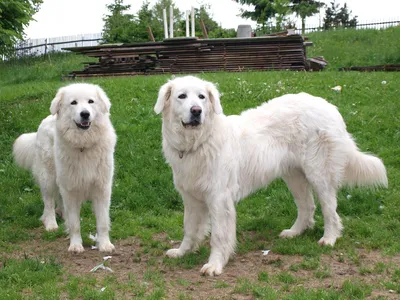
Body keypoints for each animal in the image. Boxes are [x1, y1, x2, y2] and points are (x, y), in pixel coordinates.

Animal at [13, 84, 116, 253]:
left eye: (91, 101)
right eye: (73, 102)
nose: (85, 114)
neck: (83, 145)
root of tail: (46, 119)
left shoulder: (102, 189)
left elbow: (102, 222)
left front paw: (105, 244)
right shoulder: (71, 189)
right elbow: (75, 224)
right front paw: (75, 245)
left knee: (59, 200)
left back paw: (61, 214)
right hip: (48, 177)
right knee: (48, 202)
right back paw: (51, 224)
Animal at [155, 75, 390, 276]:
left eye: (202, 97)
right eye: (182, 96)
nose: (196, 111)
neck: (198, 142)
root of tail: (329, 106)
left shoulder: (219, 199)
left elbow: (219, 236)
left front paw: (215, 265)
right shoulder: (191, 198)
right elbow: (189, 229)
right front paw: (182, 251)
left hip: (319, 174)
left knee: (330, 209)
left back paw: (329, 238)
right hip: (294, 176)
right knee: (308, 207)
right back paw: (294, 233)